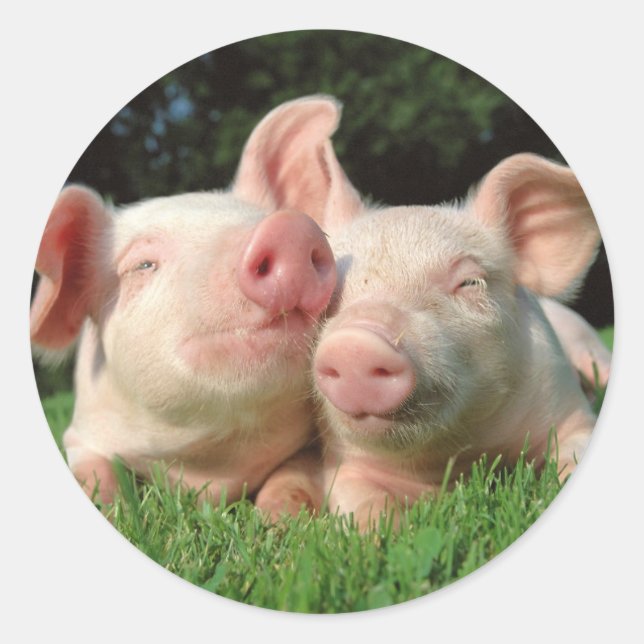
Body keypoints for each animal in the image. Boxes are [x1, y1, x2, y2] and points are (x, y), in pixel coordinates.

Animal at [30, 96, 347, 506]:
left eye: (266, 218)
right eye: (143, 265)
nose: (289, 228)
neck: (209, 467)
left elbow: (292, 476)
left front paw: (279, 515)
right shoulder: (81, 432)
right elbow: (94, 472)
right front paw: (112, 505)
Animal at [255, 97, 609, 527]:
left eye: (470, 282)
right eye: (327, 292)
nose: (356, 343)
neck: (456, 458)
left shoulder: (567, 408)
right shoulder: (347, 464)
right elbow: (362, 507)